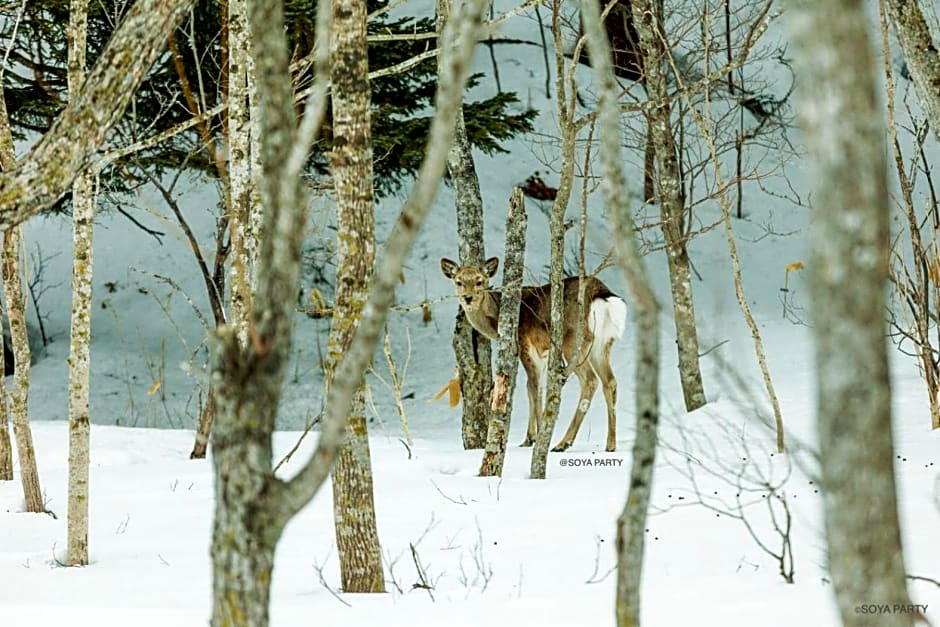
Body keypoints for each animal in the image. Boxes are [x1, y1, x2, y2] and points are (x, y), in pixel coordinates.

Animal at [438, 258, 624, 454]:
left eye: (479, 281)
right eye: (458, 281)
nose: (468, 297)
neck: (496, 321)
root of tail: (602, 294)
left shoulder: (524, 344)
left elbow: (533, 386)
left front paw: (538, 436)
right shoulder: (543, 353)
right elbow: (534, 388)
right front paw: (529, 438)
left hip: (574, 340)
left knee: (590, 380)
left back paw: (562, 443)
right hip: (602, 344)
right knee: (610, 382)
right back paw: (610, 444)